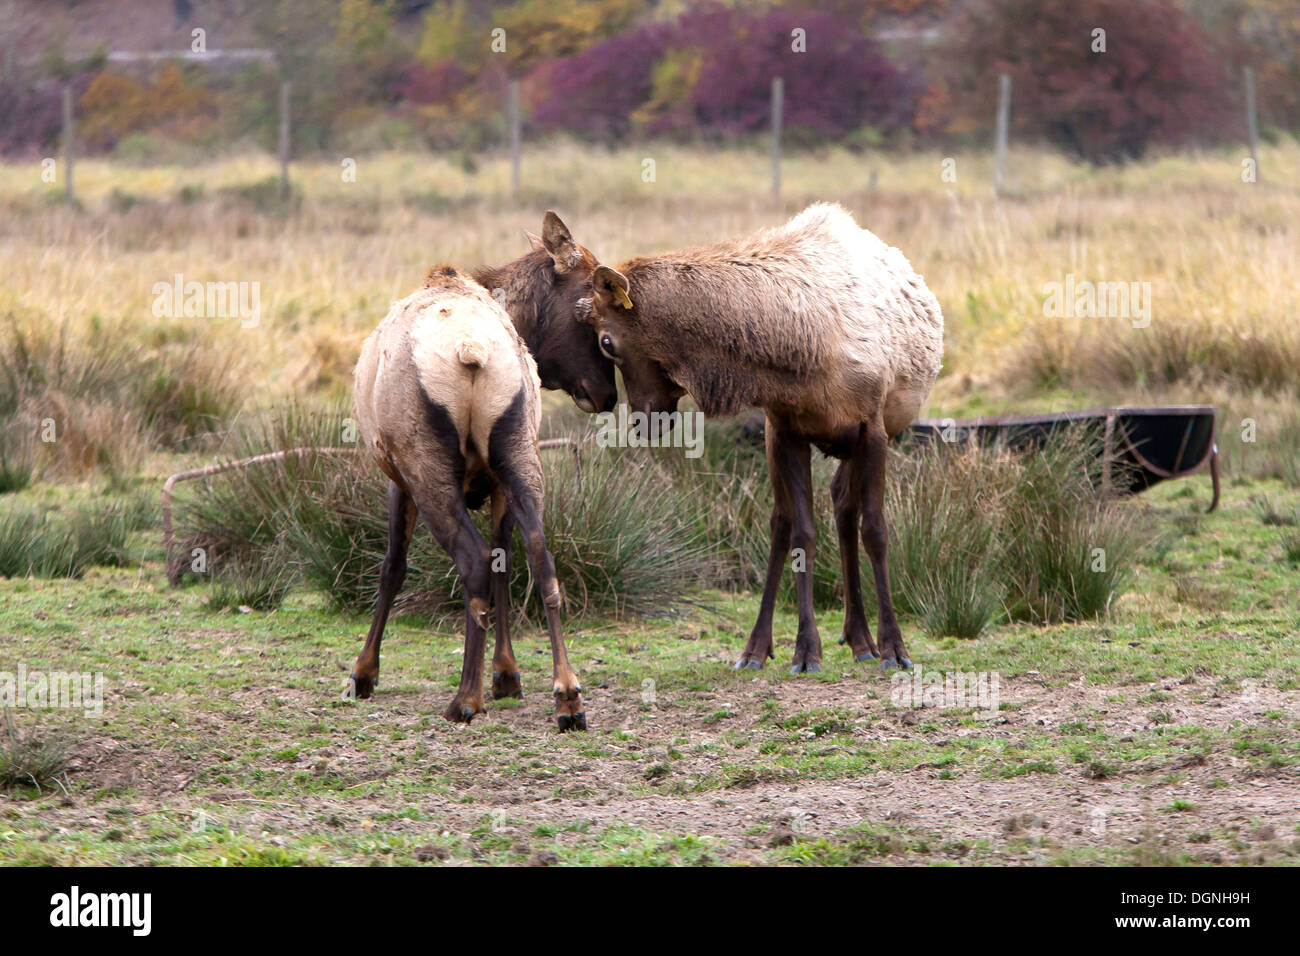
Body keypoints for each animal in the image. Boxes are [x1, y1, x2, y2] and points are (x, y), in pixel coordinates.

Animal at [343, 213, 611, 728]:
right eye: (587, 312)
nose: (609, 394)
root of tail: (471, 351)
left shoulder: (397, 479)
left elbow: (392, 566)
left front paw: (363, 674)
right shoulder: (499, 483)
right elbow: (506, 559)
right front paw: (507, 674)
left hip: (427, 469)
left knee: (471, 563)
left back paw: (466, 697)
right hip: (520, 453)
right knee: (541, 557)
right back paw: (568, 695)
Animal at [579, 204, 946, 671]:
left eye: (607, 342)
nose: (645, 420)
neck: (804, 355)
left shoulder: (873, 428)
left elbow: (877, 531)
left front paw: (896, 648)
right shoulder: (787, 429)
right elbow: (803, 534)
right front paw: (806, 650)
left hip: (859, 438)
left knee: (844, 507)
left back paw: (863, 639)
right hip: (782, 439)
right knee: (786, 521)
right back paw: (767, 646)